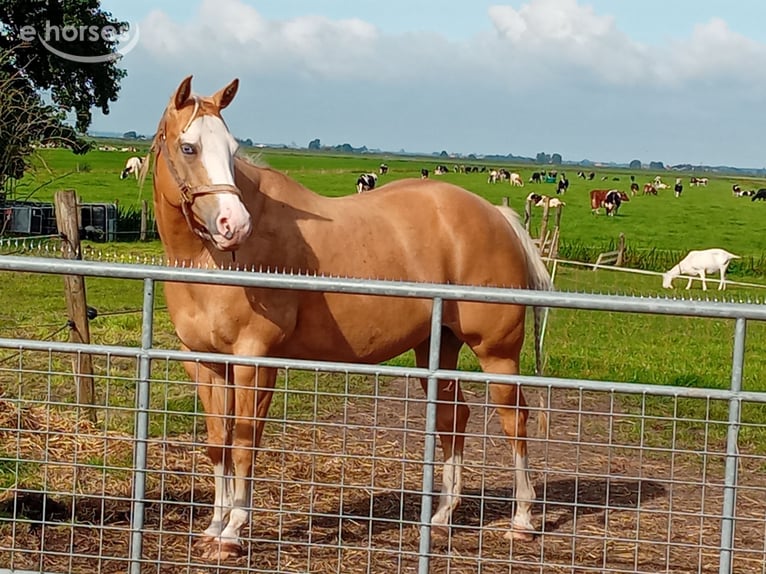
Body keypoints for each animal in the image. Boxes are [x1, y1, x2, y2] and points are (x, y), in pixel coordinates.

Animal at [145, 76, 552, 561]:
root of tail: (498, 215)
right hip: (439, 346)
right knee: (454, 418)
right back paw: (441, 518)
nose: (234, 225)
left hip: (497, 352)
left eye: (232, 148)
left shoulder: (254, 361)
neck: (212, 262)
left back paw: (522, 521)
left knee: (515, 420)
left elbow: (244, 444)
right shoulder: (206, 363)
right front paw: (213, 527)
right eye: (188, 147)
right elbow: (218, 445)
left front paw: (232, 533)